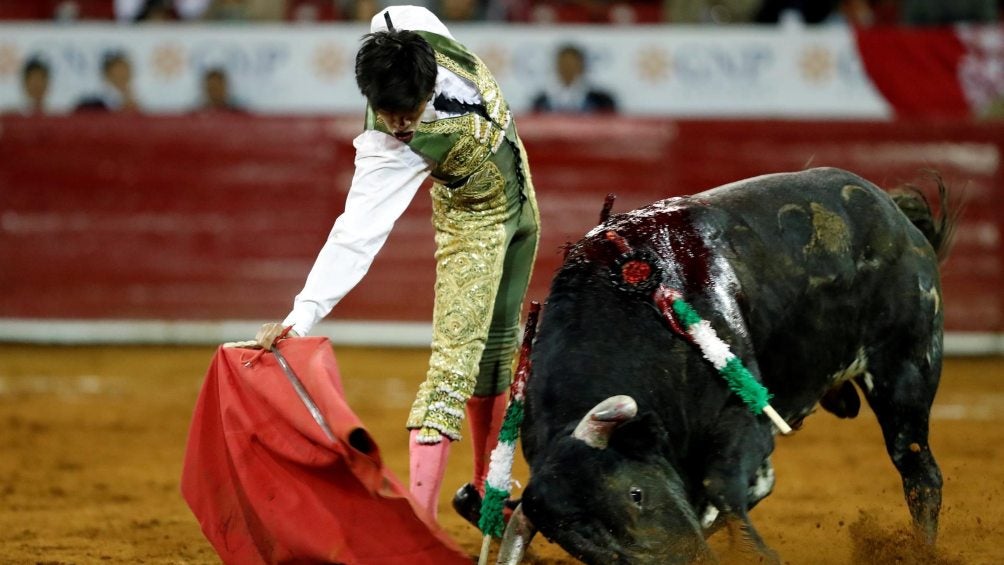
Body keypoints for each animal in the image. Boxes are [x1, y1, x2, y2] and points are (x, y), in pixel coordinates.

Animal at [497, 167, 951, 565]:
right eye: (582, 549)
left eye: (635, 495)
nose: (688, 559)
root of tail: (894, 215)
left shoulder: (742, 416)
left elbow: (721, 485)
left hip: (906, 369)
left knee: (919, 471)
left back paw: (922, 552)